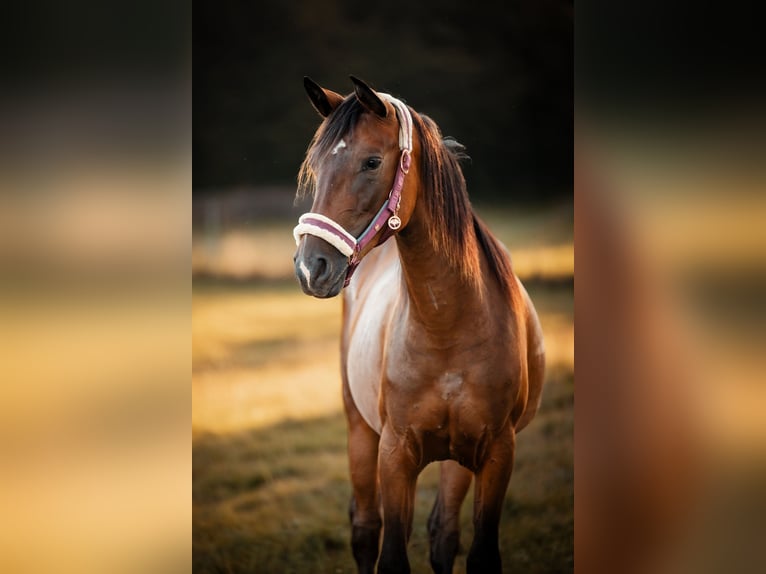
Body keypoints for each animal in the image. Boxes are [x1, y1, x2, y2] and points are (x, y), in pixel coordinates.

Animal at [292, 77, 544, 574]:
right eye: (316, 166)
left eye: (371, 161)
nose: (312, 268)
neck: (449, 323)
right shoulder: (395, 453)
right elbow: (390, 554)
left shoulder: (497, 452)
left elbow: (477, 551)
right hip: (360, 431)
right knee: (366, 529)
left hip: (456, 458)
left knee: (442, 533)